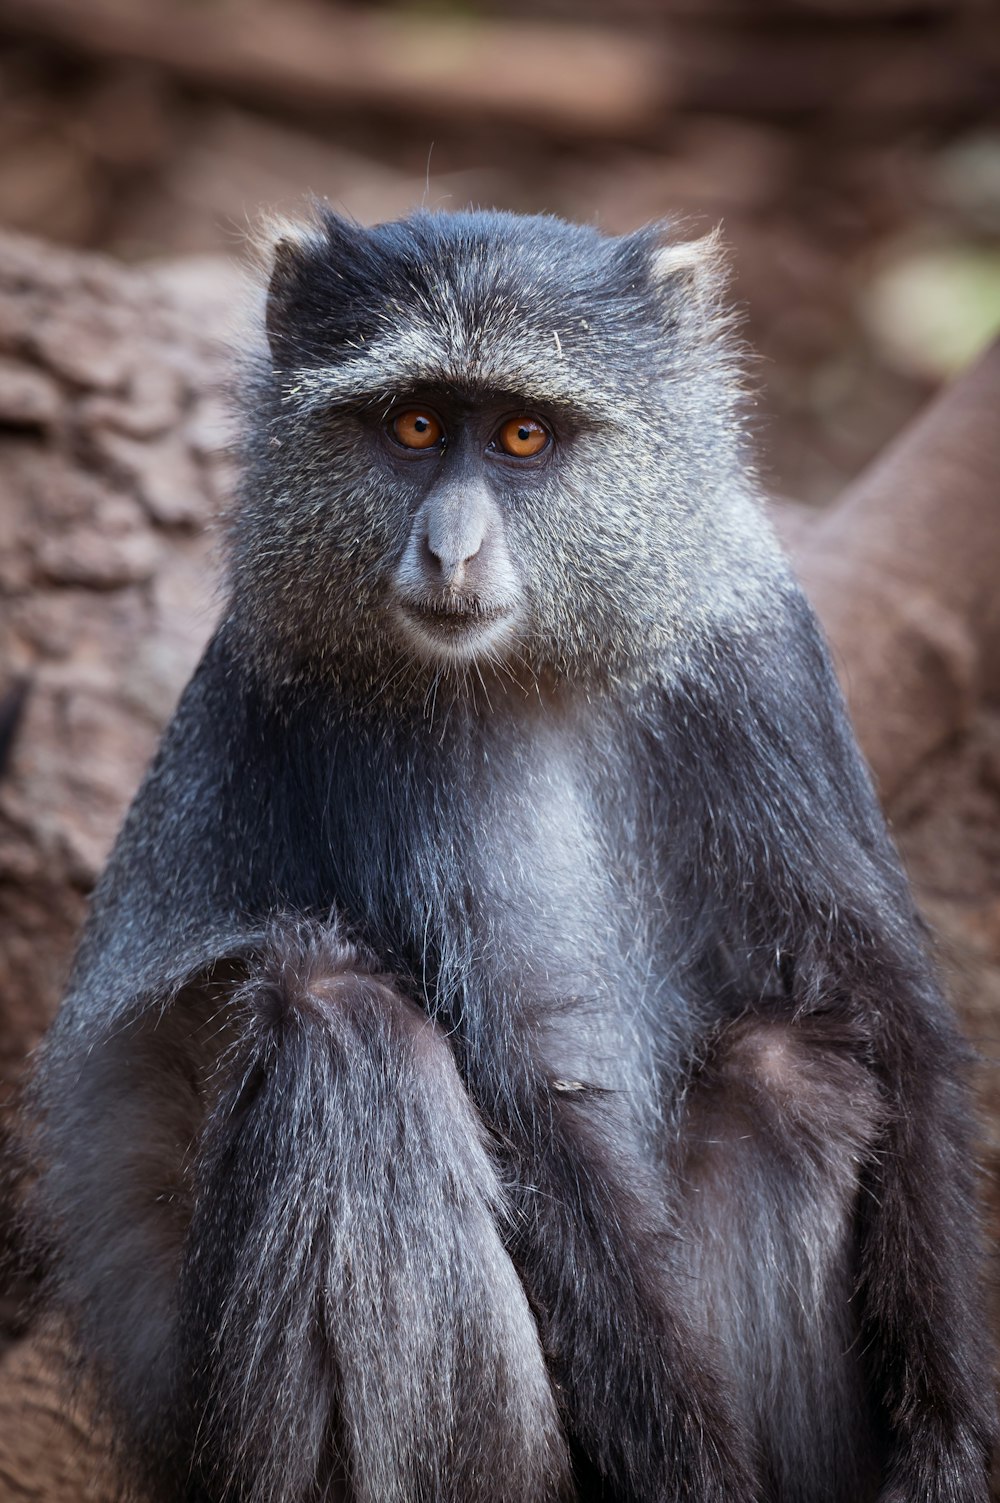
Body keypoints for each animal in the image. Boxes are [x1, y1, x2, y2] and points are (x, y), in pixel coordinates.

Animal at [27, 208, 992, 1503]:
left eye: (523, 435)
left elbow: (887, 1009)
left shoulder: (758, 644)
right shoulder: (362, 724)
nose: (448, 550)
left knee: (794, 1070)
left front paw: (948, 1444)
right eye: (415, 427)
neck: (544, 665)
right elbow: (523, 1091)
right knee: (342, 1031)